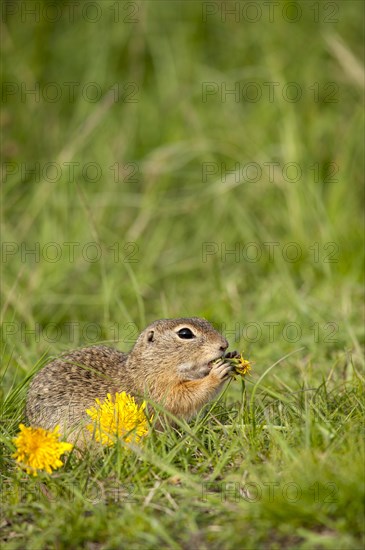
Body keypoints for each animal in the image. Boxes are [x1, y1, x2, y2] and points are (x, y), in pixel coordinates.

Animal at [26, 320, 236, 444]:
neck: (148, 366)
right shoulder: (157, 390)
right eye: (185, 334)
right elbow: (184, 396)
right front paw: (217, 373)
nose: (224, 345)